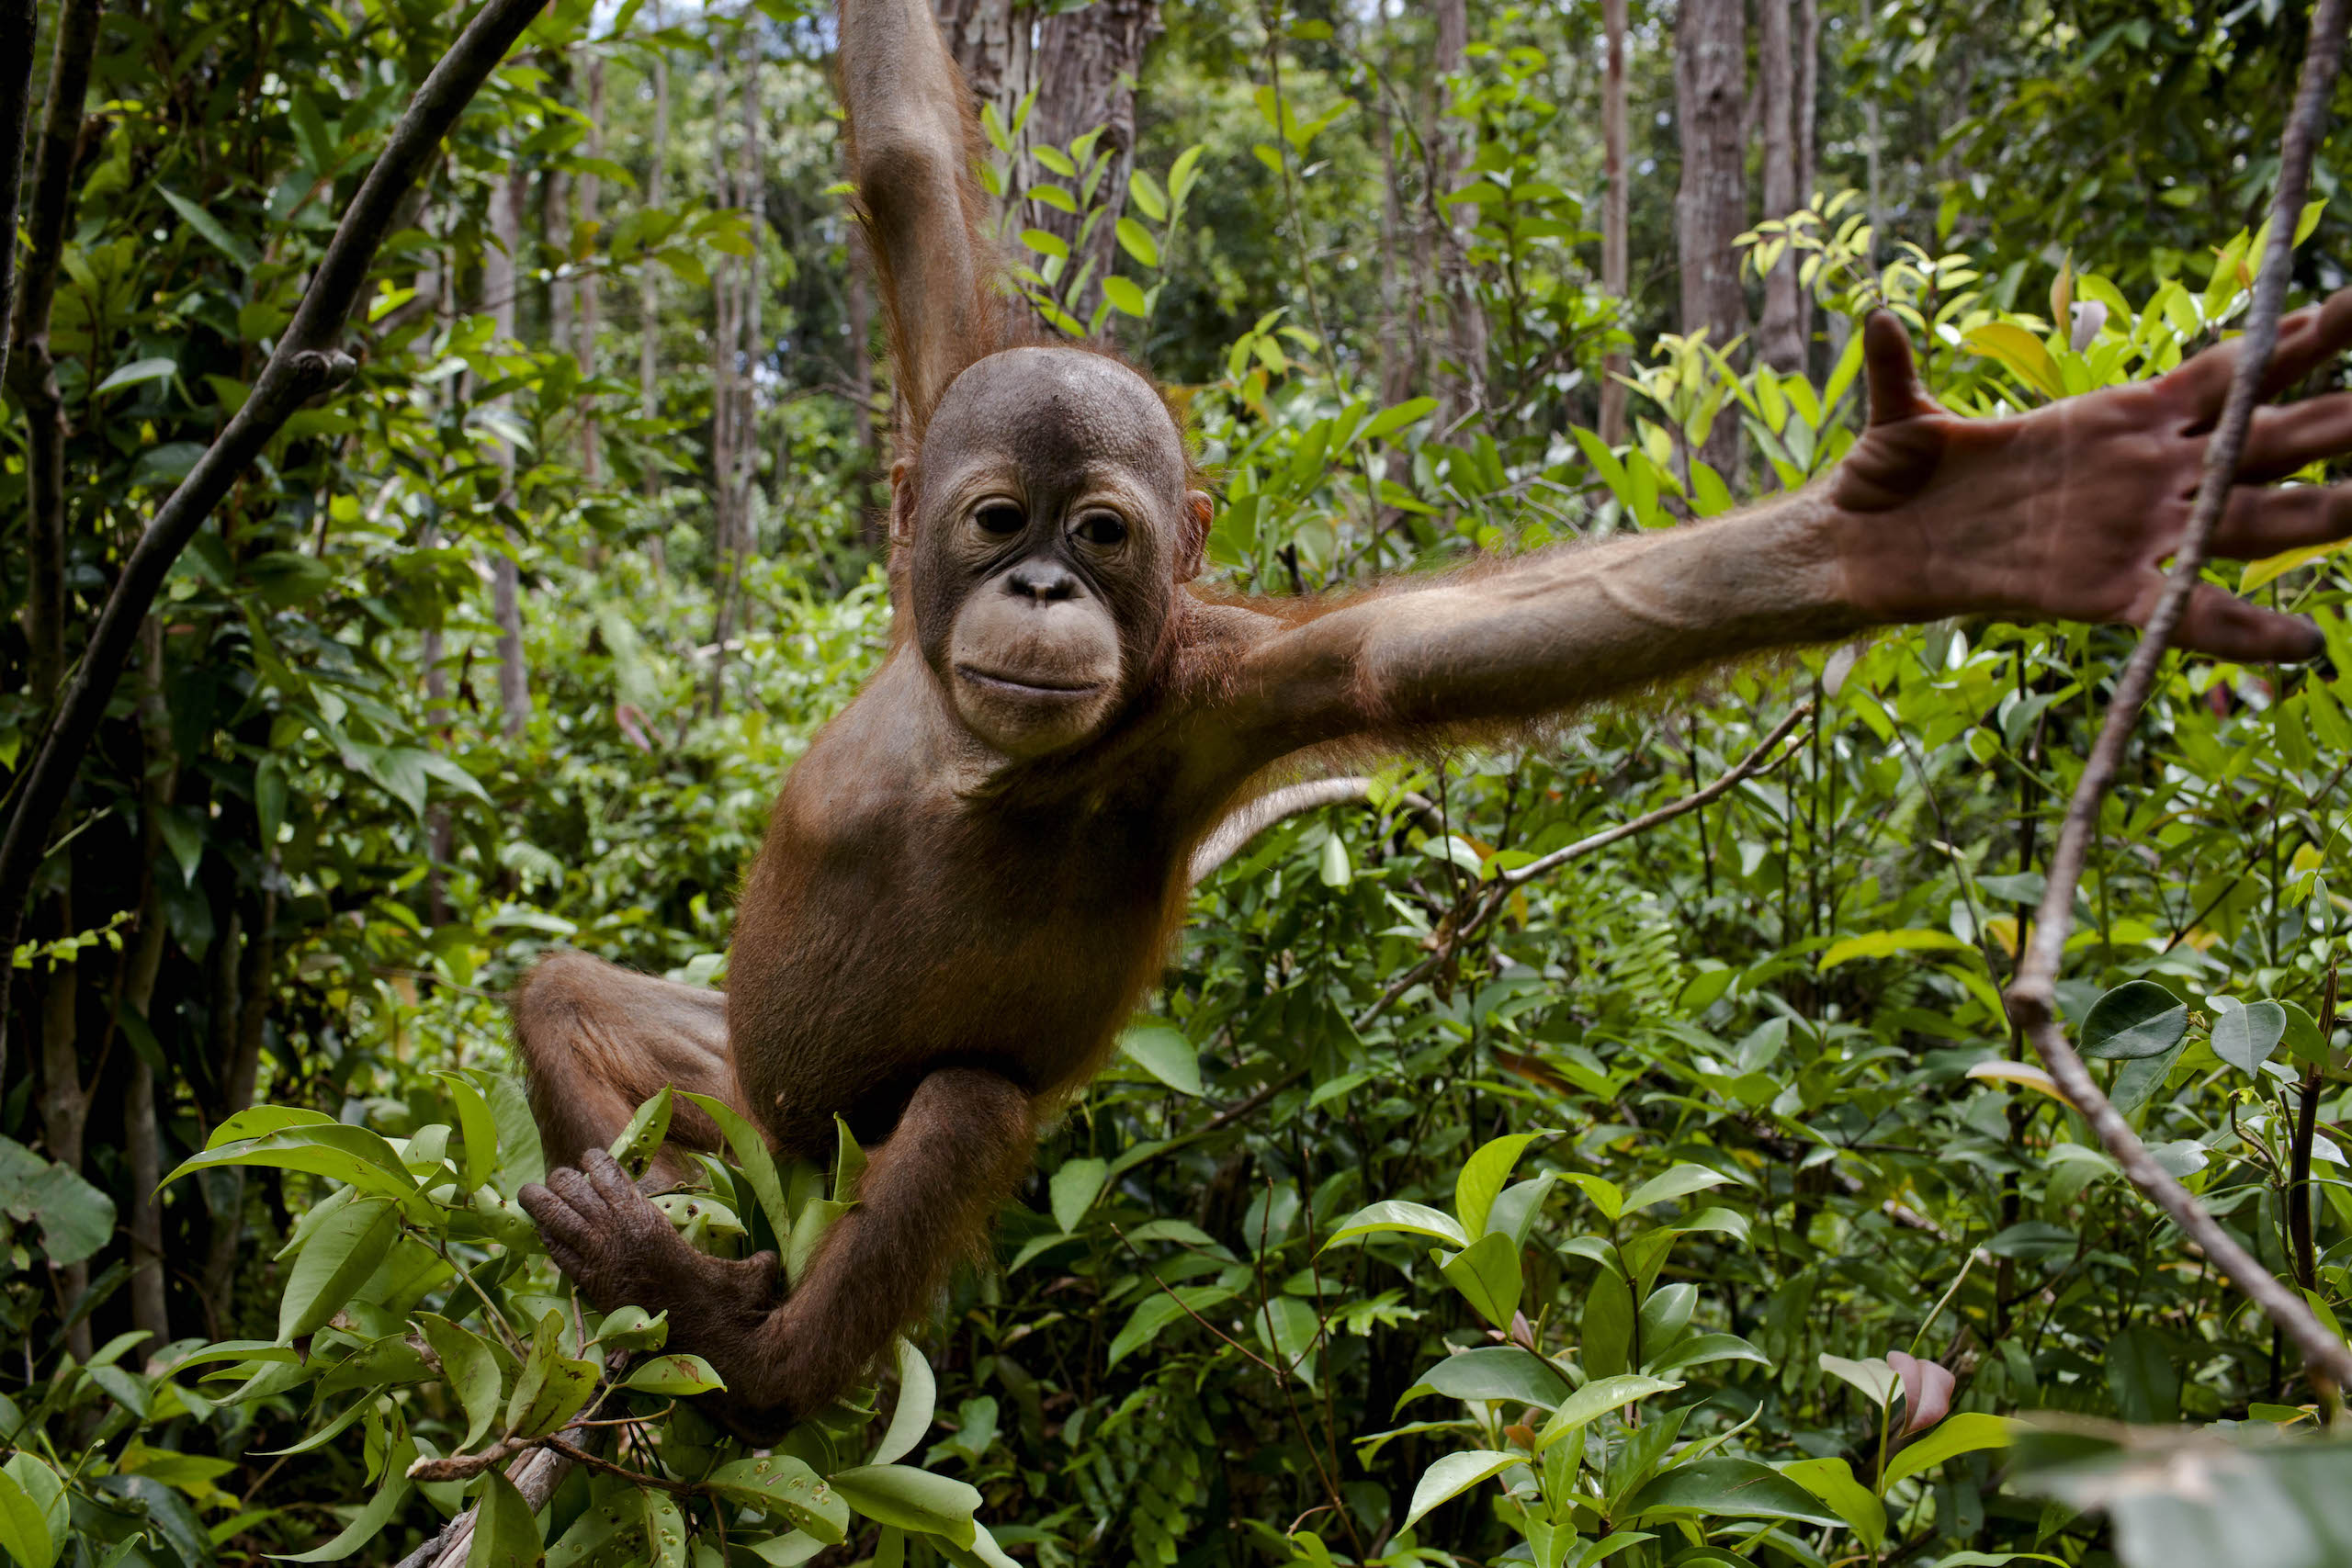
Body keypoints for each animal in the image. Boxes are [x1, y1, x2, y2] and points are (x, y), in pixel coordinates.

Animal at [514, 0, 2352, 1439]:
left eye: (1101, 535)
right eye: (996, 520)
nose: (1038, 588)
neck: (978, 749)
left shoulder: (1223, 692)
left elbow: (1415, 658)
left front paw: (1978, 519)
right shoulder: (945, 381)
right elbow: (906, 162)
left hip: (844, 1161)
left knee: (960, 1108)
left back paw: (740, 1357)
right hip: (753, 1122)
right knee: (562, 996)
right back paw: (655, 1293)